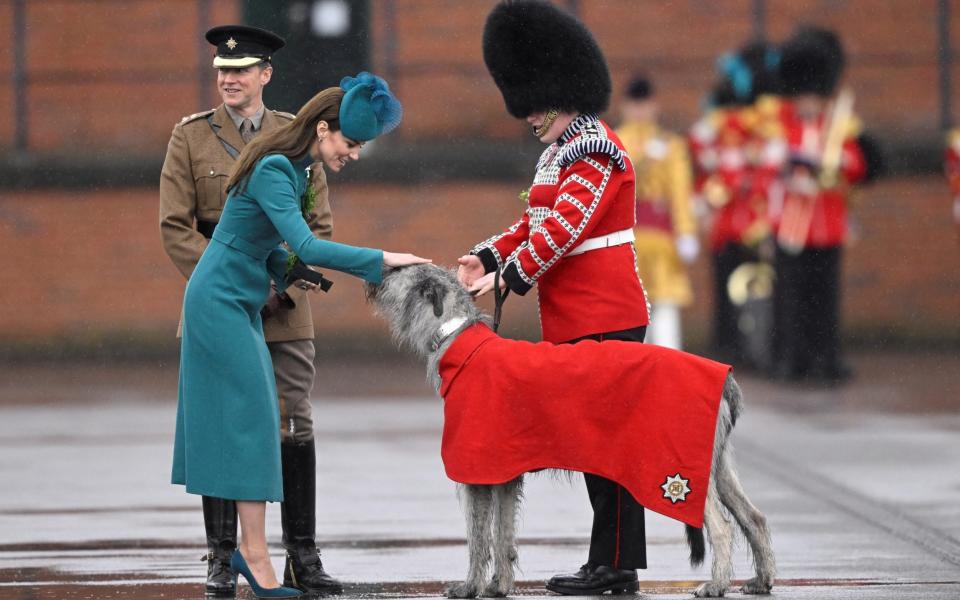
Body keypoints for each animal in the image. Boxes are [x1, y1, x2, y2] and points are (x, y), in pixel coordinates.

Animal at [364, 264, 776, 596]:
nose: (374, 272)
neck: (457, 338)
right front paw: (500, 585)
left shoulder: (476, 470)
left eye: (398, 271)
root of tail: (725, 378)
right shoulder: (504, 474)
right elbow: (503, 534)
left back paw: (717, 585)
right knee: (753, 517)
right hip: (715, 465)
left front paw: (470, 587)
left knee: (722, 526)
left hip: (678, 468)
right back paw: (762, 580)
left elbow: (478, 538)